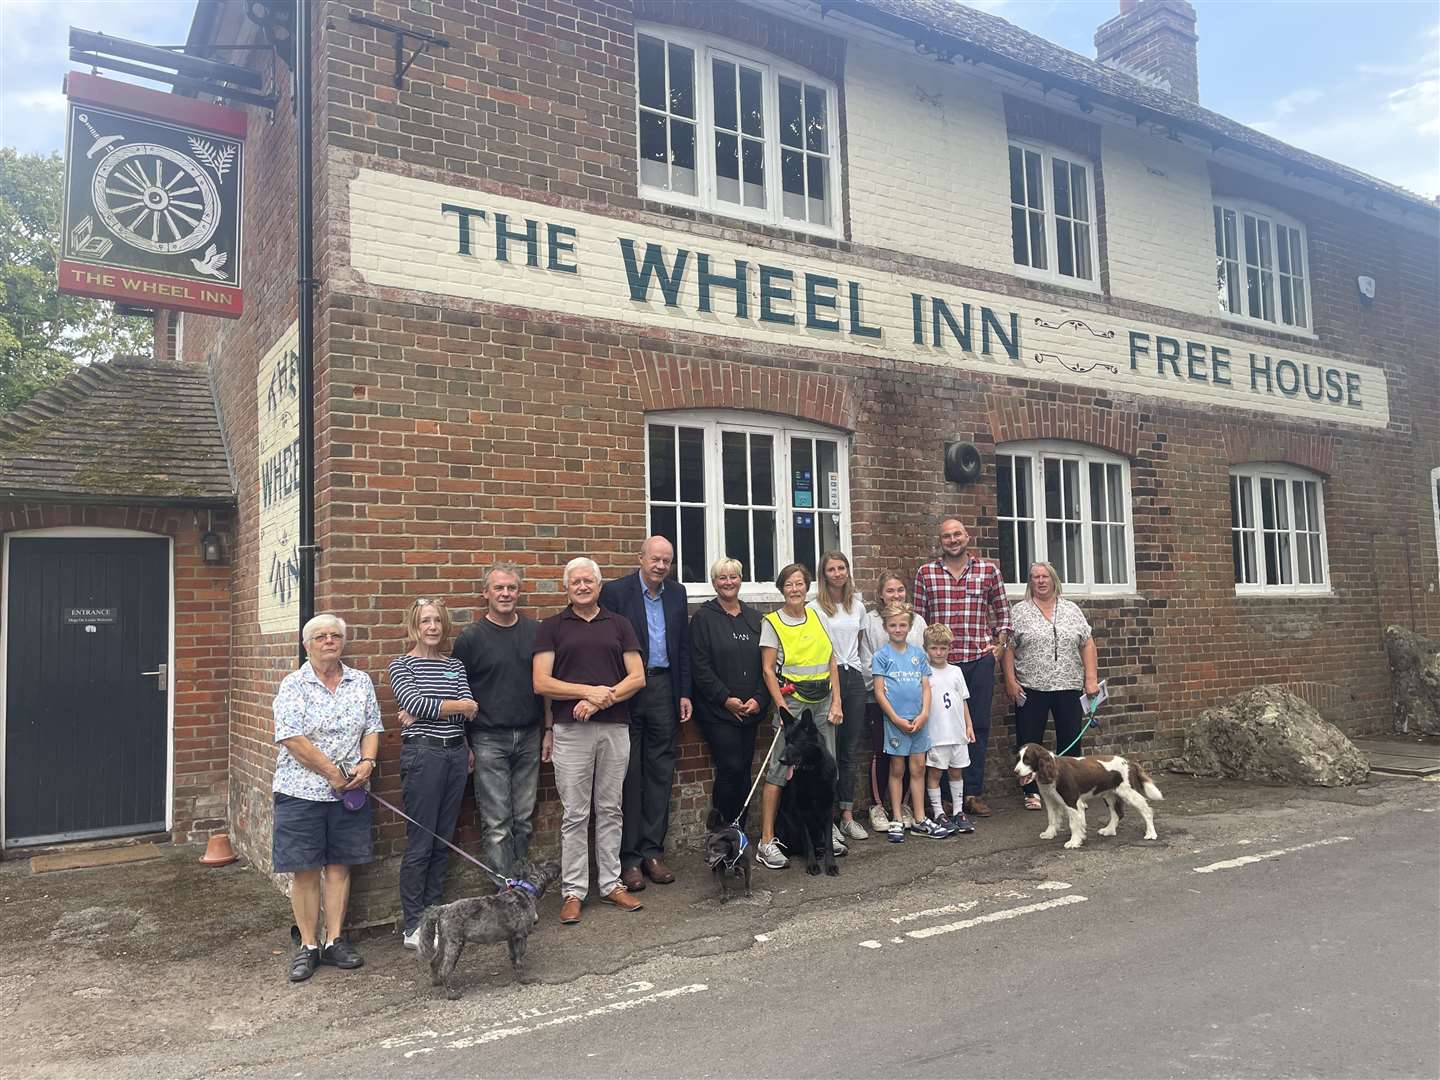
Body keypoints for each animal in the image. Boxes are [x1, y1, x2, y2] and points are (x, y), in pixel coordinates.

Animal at [414, 858, 558, 1002]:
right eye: (547, 865)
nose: (557, 864)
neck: (526, 891)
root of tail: (443, 909)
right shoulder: (520, 936)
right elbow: (519, 959)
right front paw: (524, 979)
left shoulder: (511, 938)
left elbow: (513, 956)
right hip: (455, 945)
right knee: (445, 970)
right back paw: (452, 994)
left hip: (443, 942)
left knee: (434, 962)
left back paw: (436, 982)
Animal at [777, 711, 840, 881]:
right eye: (786, 740)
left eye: (796, 742)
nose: (781, 760)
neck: (811, 771)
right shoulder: (801, 812)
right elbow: (808, 842)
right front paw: (812, 865)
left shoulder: (828, 809)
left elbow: (829, 843)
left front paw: (830, 865)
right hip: (786, 821)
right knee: (798, 846)